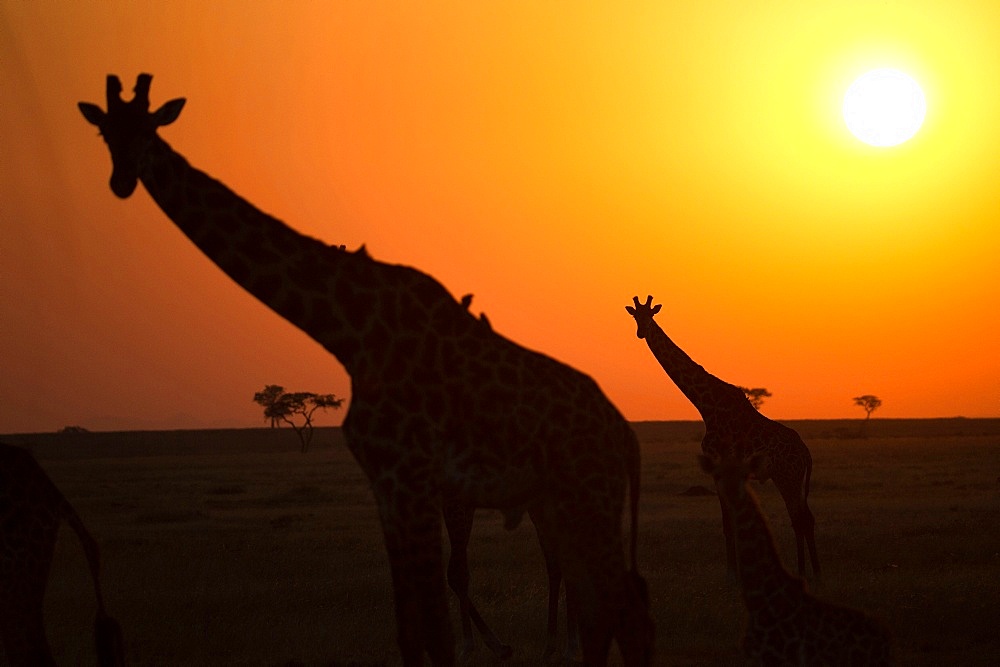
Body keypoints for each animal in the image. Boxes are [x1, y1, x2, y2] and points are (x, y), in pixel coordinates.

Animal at [80, 74, 656, 667]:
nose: (121, 180)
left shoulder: (412, 475)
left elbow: (438, 625)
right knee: (604, 604)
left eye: (148, 129)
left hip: (586, 496)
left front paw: (488, 644)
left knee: (619, 605)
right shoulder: (387, 483)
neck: (349, 331)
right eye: (103, 131)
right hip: (570, 500)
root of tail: (626, 437)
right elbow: (411, 629)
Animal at [624, 296, 820, 580]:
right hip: (791, 478)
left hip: (787, 477)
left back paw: (805, 572)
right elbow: (732, 523)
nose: (642, 332)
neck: (706, 405)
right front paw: (738, 570)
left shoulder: (718, 468)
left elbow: (728, 524)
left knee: (799, 518)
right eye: (635, 317)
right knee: (807, 517)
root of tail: (805, 453)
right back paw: (814, 571)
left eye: (650, 315)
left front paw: (731, 573)